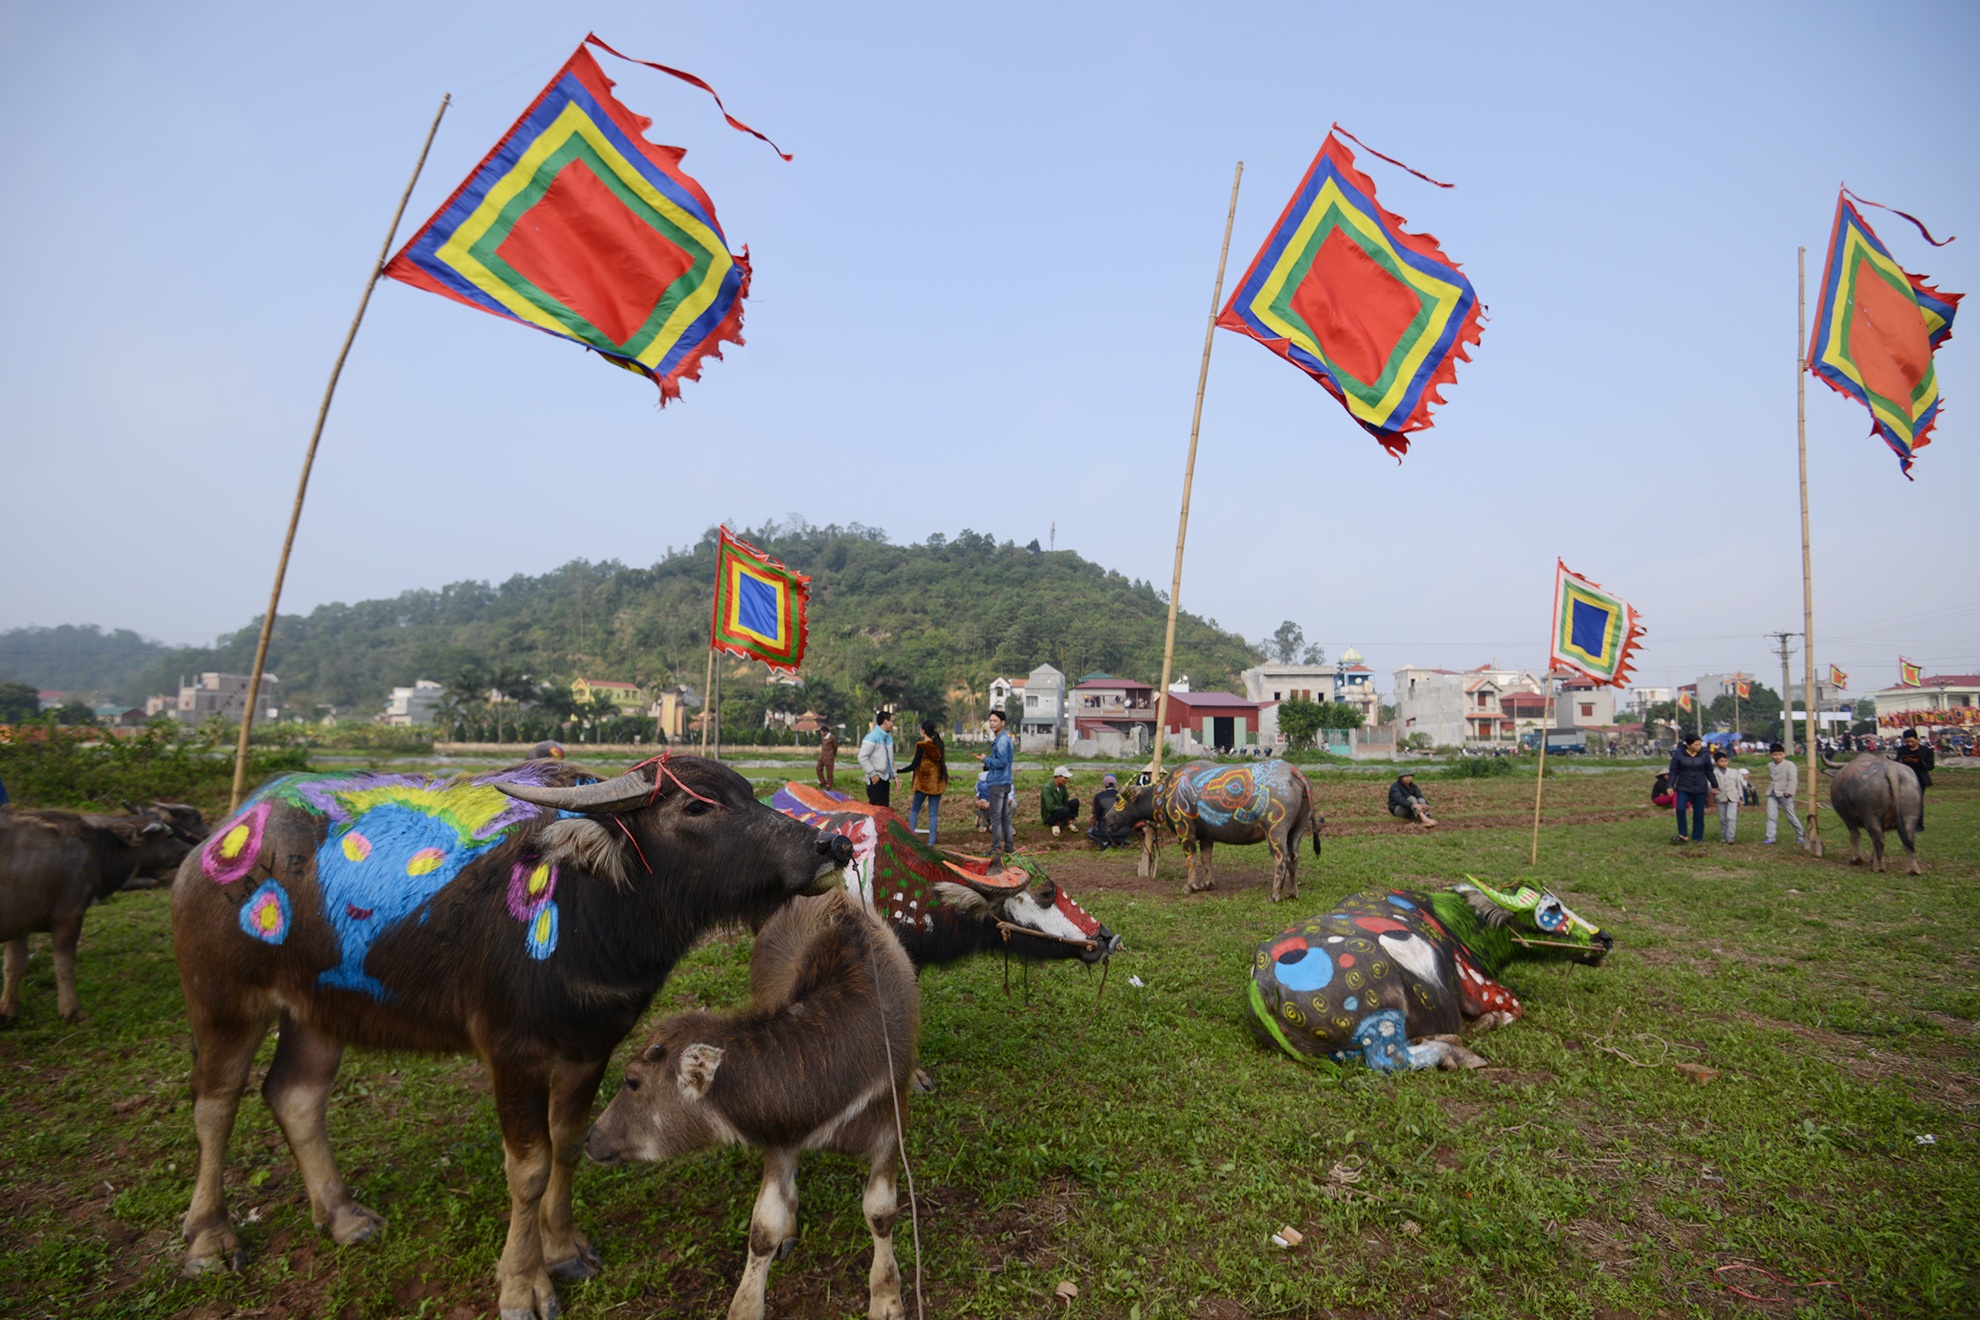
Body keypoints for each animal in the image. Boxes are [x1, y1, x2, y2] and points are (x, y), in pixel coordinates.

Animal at [2, 802, 207, 1022]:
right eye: (169, 836)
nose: (190, 850)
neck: (96, 848)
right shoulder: (69, 917)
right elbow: (64, 964)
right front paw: (72, 1010)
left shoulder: (20, 925)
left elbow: (14, 965)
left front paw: (8, 1010)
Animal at [170, 756, 853, 1320]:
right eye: (696, 807)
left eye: (748, 792)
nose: (832, 843)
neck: (591, 908)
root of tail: (221, 835)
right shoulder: (512, 1054)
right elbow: (528, 1167)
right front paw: (524, 1285)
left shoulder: (590, 1045)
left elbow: (568, 1144)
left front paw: (564, 1248)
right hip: (223, 1000)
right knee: (215, 1103)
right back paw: (209, 1238)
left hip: (319, 1010)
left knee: (296, 1096)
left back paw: (342, 1216)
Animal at [586, 887, 918, 1320]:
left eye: (632, 1081)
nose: (591, 1139)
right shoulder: (781, 1133)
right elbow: (763, 1229)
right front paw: (747, 1301)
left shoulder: (891, 1127)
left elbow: (880, 1213)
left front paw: (886, 1297)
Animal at [1104, 759, 1321, 900]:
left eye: (1118, 799)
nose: (1106, 819)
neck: (1166, 792)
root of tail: (1294, 771)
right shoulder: (1207, 836)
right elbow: (1206, 859)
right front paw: (1206, 883)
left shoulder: (1185, 831)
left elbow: (1191, 860)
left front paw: (1190, 886)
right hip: (1298, 828)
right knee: (1293, 857)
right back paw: (1292, 893)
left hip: (1276, 831)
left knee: (1281, 859)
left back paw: (1275, 894)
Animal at [1246, 878, 1612, 1072]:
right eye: (1552, 910)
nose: (1605, 938)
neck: (1453, 922)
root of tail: (1260, 982)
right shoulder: (1475, 985)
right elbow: (1514, 1005)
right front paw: (1489, 1021)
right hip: (1382, 1008)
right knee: (1388, 1058)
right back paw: (1456, 1052)